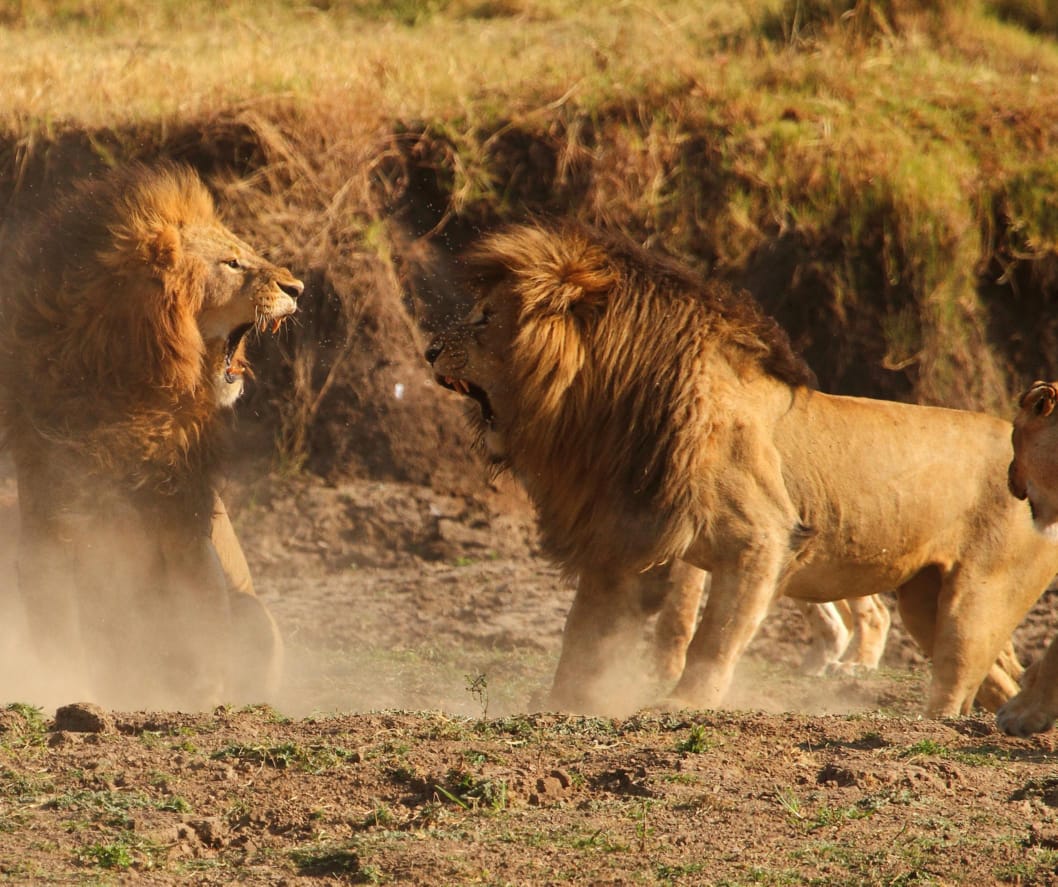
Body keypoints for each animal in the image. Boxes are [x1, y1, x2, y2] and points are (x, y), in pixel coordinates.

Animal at [0, 162, 301, 711]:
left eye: (244, 252)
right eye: (231, 263)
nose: (299, 287)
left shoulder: (184, 525)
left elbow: (197, 620)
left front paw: (199, 700)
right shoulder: (51, 527)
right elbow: (59, 632)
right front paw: (66, 689)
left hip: (257, 615)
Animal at [426, 220, 1058, 717]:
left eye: (484, 319)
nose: (429, 350)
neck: (602, 411)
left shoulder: (763, 538)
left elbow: (714, 637)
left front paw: (681, 704)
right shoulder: (621, 540)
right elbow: (585, 633)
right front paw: (565, 703)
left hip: (975, 600)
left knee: (956, 681)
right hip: (926, 600)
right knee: (995, 681)